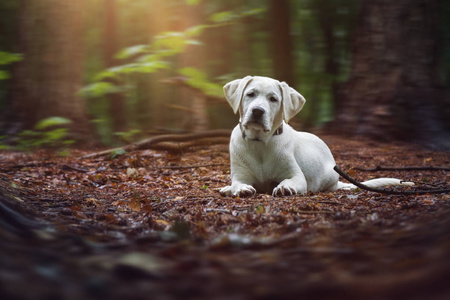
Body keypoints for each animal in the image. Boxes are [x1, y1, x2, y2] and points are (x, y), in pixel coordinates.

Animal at [220, 75, 414, 197]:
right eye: (250, 94)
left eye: (273, 99)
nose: (258, 111)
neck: (260, 142)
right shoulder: (240, 175)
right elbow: (238, 183)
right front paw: (238, 189)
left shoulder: (296, 176)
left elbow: (290, 181)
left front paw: (284, 187)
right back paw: (226, 189)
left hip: (329, 176)